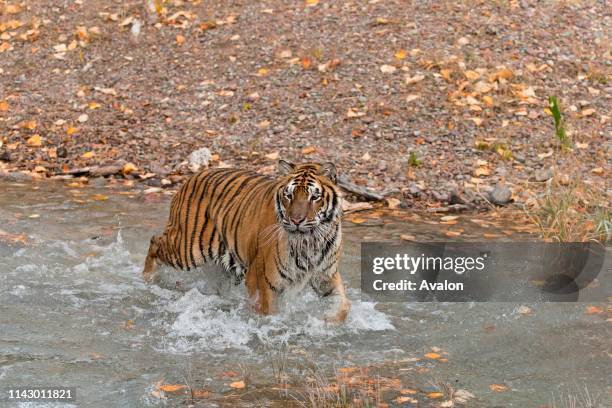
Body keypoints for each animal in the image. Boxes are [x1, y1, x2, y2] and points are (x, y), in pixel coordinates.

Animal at [143, 159, 350, 322]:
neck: (311, 241)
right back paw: (147, 278)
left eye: (314, 196)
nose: (296, 220)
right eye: (289, 195)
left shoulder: (326, 275)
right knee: (155, 241)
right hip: (187, 249)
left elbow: (343, 306)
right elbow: (267, 313)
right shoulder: (262, 279)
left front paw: (327, 321)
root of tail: (191, 177)